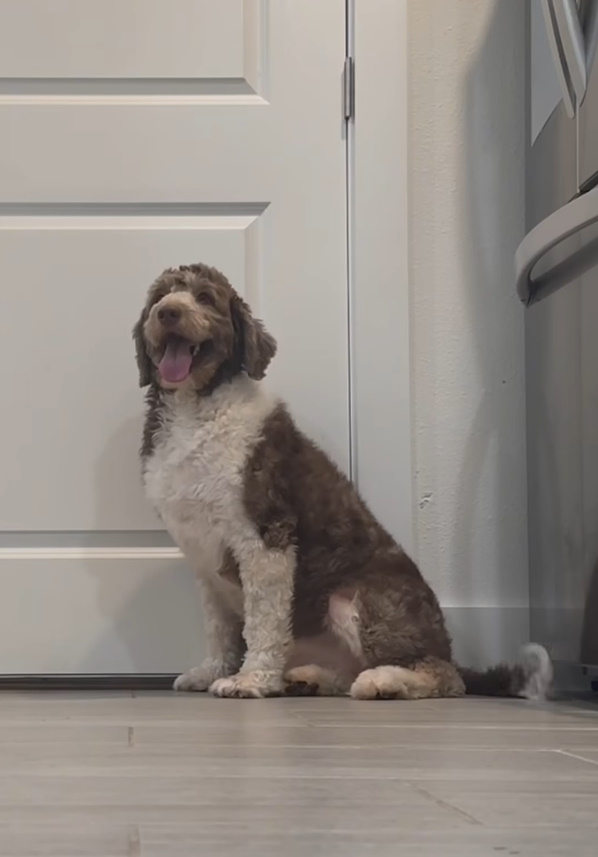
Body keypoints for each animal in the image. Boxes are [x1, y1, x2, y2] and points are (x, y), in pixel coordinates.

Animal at [134, 264, 556, 700]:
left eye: (204, 298)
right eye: (159, 297)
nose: (168, 312)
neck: (196, 408)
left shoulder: (265, 536)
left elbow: (263, 622)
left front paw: (250, 679)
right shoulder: (204, 555)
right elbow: (220, 628)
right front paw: (211, 671)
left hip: (353, 598)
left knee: (442, 675)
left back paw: (383, 681)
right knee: (354, 672)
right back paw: (309, 678)